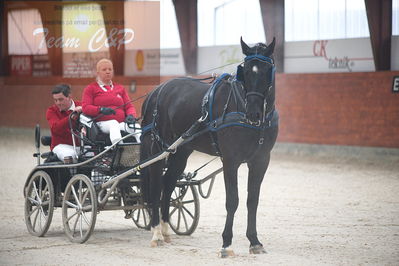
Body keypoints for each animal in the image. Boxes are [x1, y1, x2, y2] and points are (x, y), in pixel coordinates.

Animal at [140, 37, 278, 256]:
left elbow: (252, 201)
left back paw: (166, 229)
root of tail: (155, 91)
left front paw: (255, 241)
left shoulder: (260, 161)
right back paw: (156, 233)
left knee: (168, 183)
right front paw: (226, 244)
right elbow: (233, 201)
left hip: (180, 151)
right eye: (246, 71)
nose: (253, 113)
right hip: (157, 148)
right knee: (156, 185)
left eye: (266, 70)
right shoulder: (231, 161)